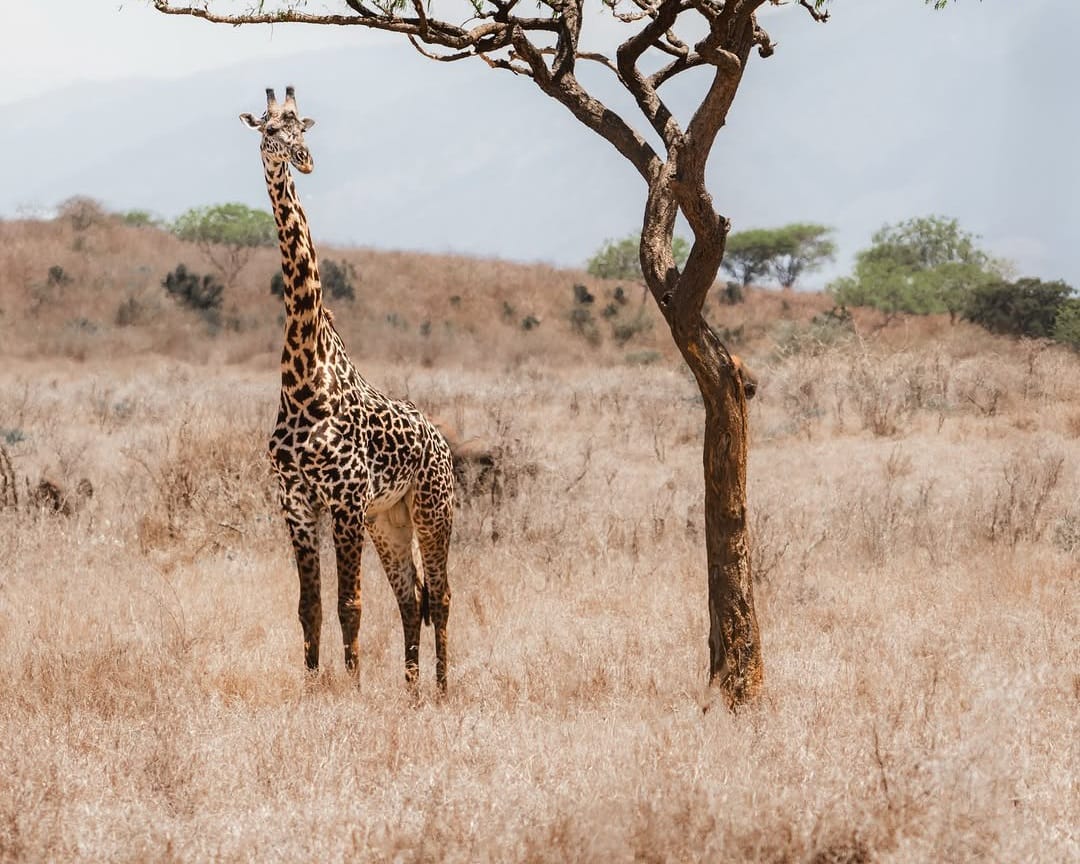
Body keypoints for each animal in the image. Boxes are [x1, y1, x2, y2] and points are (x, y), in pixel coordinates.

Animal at [240, 87, 456, 690]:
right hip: (390, 519)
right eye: (270, 130)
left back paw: (441, 688)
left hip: (433, 509)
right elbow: (310, 606)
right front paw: (314, 687)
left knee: (442, 596)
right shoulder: (297, 503)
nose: (305, 159)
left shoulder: (346, 501)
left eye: (302, 128)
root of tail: (443, 442)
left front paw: (353, 687)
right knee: (412, 598)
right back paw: (409, 689)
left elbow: (350, 604)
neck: (302, 384)